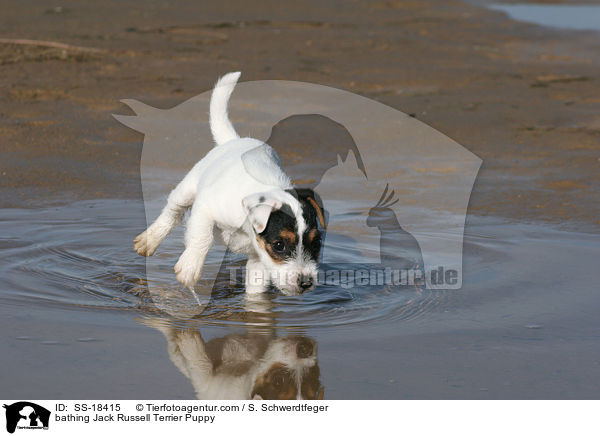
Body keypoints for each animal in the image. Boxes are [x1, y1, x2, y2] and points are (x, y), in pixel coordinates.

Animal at [134, 72, 326, 296]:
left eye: (317, 243)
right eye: (279, 245)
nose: (305, 282)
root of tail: (234, 140)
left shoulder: (258, 260)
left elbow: (256, 294)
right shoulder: (205, 207)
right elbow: (202, 236)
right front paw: (190, 267)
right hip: (187, 189)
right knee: (173, 212)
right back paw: (149, 240)